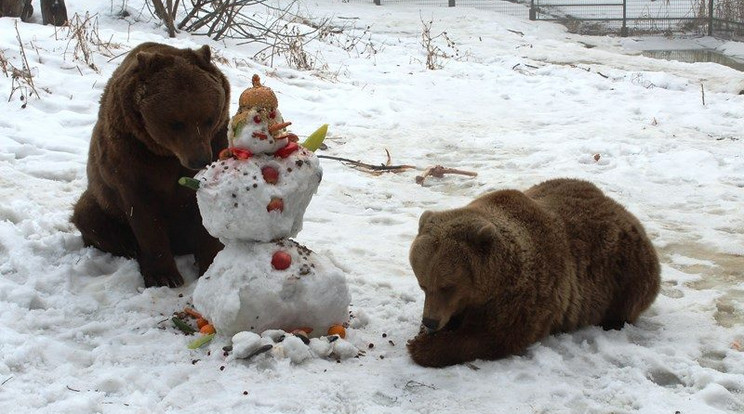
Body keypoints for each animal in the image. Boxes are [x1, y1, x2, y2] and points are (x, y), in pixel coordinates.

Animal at [73, 42, 231, 288]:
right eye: (176, 122)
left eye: (209, 118)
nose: (200, 159)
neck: (165, 153)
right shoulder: (131, 158)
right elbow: (144, 216)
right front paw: (163, 276)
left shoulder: (216, 139)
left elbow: (204, 215)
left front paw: (210, 264)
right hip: (102, 203)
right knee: (88, 215)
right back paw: (131, 249)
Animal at [406, 180, 664, 368]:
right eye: (422, 284)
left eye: (448, 285)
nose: (430, 320)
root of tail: (627, 214)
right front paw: (425, 333)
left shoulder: (523, 294)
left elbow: (495, 335)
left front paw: (422, 347)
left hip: (627, 272)